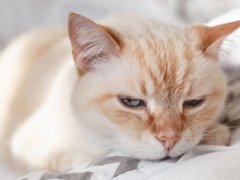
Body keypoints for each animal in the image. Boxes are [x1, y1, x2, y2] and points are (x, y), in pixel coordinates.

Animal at [0, 12, 239, 173]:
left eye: (193, 103)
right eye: (131, 103)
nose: (169, 139)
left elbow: (216, 134)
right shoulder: (33, 149)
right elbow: (92, 155)